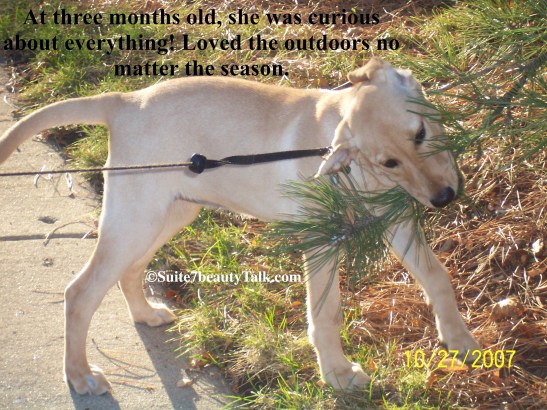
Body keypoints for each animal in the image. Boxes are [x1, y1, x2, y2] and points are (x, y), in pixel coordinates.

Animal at [0, 58, 480, 394]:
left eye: (421, 133)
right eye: (389, 160)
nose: (444, 198)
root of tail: (124, 100)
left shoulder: (397, 220)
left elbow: (436, 277)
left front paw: (460, 338)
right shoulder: (321, 243)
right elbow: (325, 313)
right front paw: (338, 374)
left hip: (170, 213)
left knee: (130, 271)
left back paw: (145, 314)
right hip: (136, 218)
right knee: (80, 292)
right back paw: (80, 375)